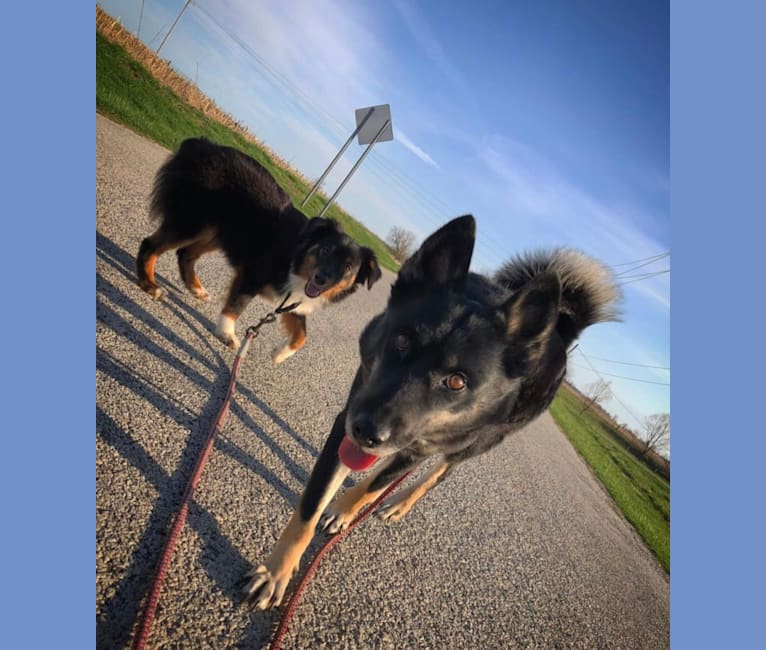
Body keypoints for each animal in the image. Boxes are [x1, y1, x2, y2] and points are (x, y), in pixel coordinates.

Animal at [138, 137, 384, 360]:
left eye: (348, 268)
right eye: (325, 251)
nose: (321, 279)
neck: (298, 257)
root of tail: (203, 144)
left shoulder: (292, 300)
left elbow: (303, 334)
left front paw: (279, 354)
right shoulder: (253, 275)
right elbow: (237, 305)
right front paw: (226, 333)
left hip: (218, 231)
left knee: (186, 254)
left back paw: (196, 289)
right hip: (193, 221)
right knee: (151, 245)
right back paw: (149, 285)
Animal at [244, 214, 624, 608]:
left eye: (457, 382)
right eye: (401, 339)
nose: (368, 432)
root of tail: (559, 331)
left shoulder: (409, 441)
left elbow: (374, 484)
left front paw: (344, 510)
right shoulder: (349, 417)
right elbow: (311, 506)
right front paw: (276, 572)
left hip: (473, 443)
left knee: (434, 475)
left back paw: (397, 503)